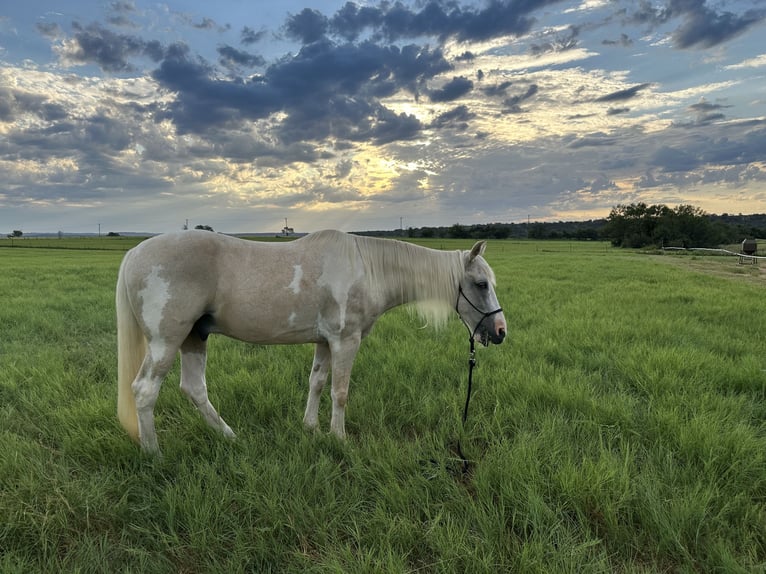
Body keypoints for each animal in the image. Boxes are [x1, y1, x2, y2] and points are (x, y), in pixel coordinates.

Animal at [116, 229, 506, 454]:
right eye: (481, 284)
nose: (501, 331)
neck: (367, 269)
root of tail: (133, 254)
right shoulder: (346, 341)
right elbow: (340, 391)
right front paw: (339, 439)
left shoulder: (325, 341)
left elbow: (316, 382)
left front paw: (312, 429)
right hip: (166, 341)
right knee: (145, 390)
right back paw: (154, 454)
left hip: (194, 337)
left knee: (194, 389)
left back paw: (230, 437)